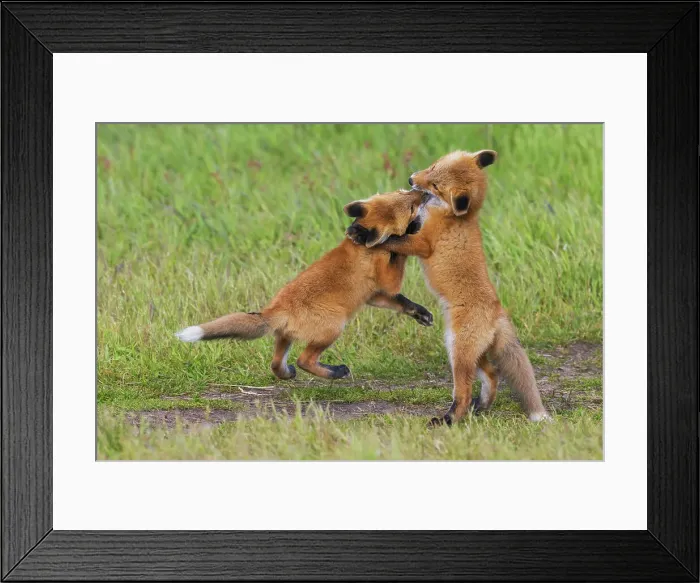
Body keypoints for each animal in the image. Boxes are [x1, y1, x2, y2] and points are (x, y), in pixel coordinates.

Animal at [176, 189, 433, 380]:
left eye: (403, 192)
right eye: (410, 208)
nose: (423, 192)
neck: (362, 250)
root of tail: (273, 311)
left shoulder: (374, 295)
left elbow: (402, 303)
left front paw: (421, 314)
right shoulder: (387, 280)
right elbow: (398, 260)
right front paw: (401, 237)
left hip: (285, 337)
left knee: (276, 364)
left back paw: (287, 374)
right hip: (333, 328)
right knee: (304, 360)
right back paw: (335, 372)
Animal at [346, 150, 550, 424]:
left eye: (435, 186)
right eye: (433, 167)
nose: (411, 179)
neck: (450, 215)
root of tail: (498, 312)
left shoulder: (423, 243)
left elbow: (394, 240)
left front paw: (362, 233)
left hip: (457, 351)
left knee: (463, 393)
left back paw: (450, 419)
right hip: (472, 354)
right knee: (492, 375)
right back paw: (481, 406)